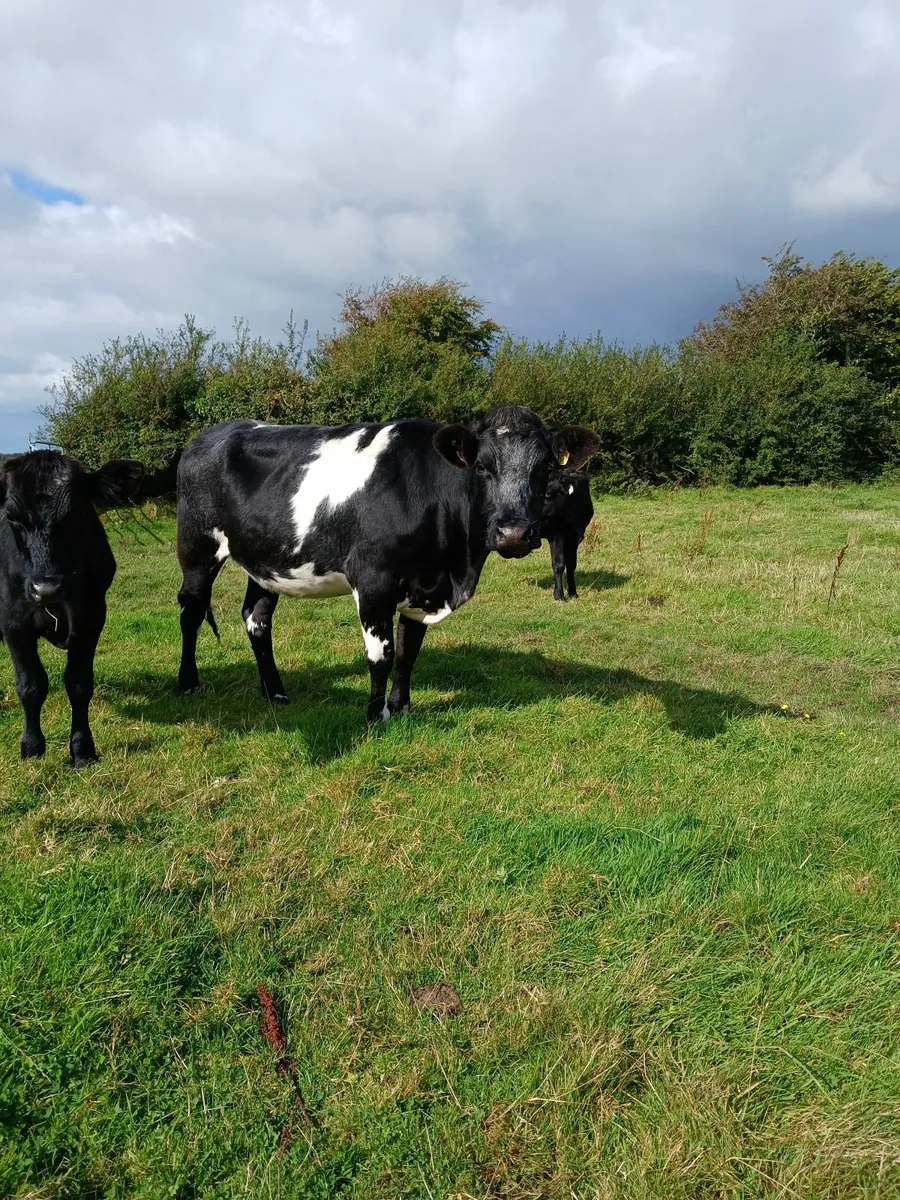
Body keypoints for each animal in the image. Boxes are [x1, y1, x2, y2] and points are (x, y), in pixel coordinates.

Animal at [0, 452, 144, 765]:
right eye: (12, 518)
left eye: (77, 514)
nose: (46, 587)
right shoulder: (13, 624)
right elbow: (30, 685)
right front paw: (32, 747)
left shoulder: (92, 618)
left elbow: (79, 685)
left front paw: (82, 749)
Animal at [540, 470, 593, 600]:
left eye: (547, 495)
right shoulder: (557, 535)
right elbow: (558, 565)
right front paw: (559, 594)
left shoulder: (574, 538)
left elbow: (571, 565)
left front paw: (573, 593)